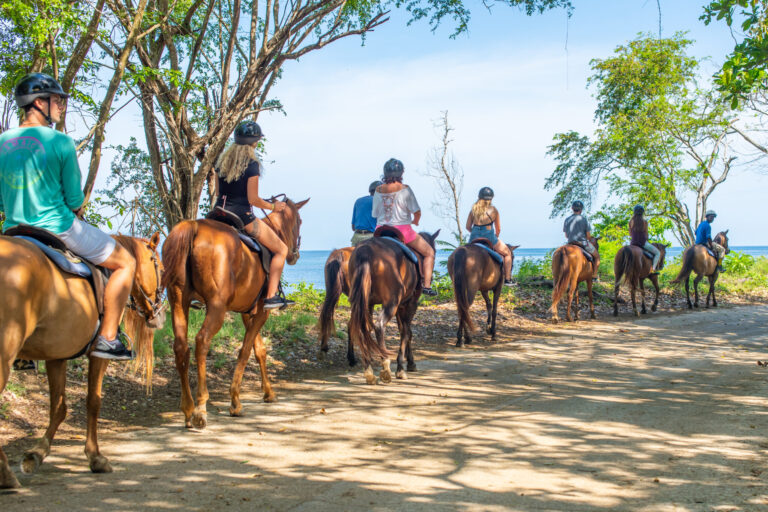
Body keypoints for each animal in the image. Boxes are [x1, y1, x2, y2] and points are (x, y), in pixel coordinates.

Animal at [0, 231, 162, 488]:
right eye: (160, 267)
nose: (158, 310)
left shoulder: (56, 356)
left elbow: (59, 408)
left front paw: (37, 454)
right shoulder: (97, 356)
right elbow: (93, 402)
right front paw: (95, 457)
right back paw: (6, 474)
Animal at [160, 198, 308, 430]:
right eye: (299, 221)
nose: (294, 255)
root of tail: (194, 226)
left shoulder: (248, 313)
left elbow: (259, 350)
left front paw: (268, 392)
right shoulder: (261, 312)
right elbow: (246, 351)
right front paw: (235, 401)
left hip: (178, 302)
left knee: (181, 348)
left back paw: (188, 409)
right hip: (217, 307)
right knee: (202, 342)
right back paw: (200, 408)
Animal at [346, 231, 438, 384]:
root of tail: (366, 251)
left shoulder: (398, 306)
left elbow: (405, 331)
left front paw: (409, 363)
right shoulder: (409, 304)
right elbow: (406, 332)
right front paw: (402, 368)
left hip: (363, 303)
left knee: (361, 328)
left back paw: (368, 370)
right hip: (391, 302)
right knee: (379, 326)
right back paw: (385, 366)